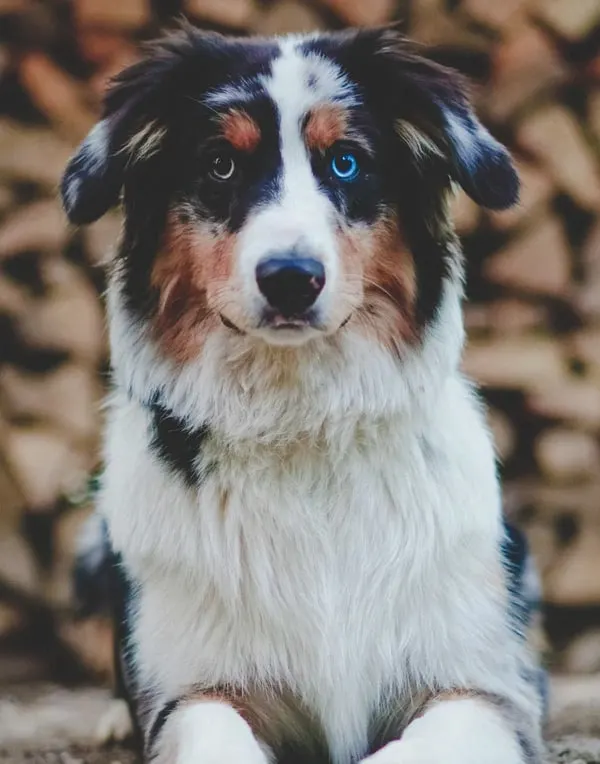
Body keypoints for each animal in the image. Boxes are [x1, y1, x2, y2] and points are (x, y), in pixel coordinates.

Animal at [63, 22, 548, 764]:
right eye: (220, 165)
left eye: (345, 163)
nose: (291, 276)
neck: (301, 420)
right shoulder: (194, 689)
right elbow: (211, 732)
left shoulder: (485, 688)